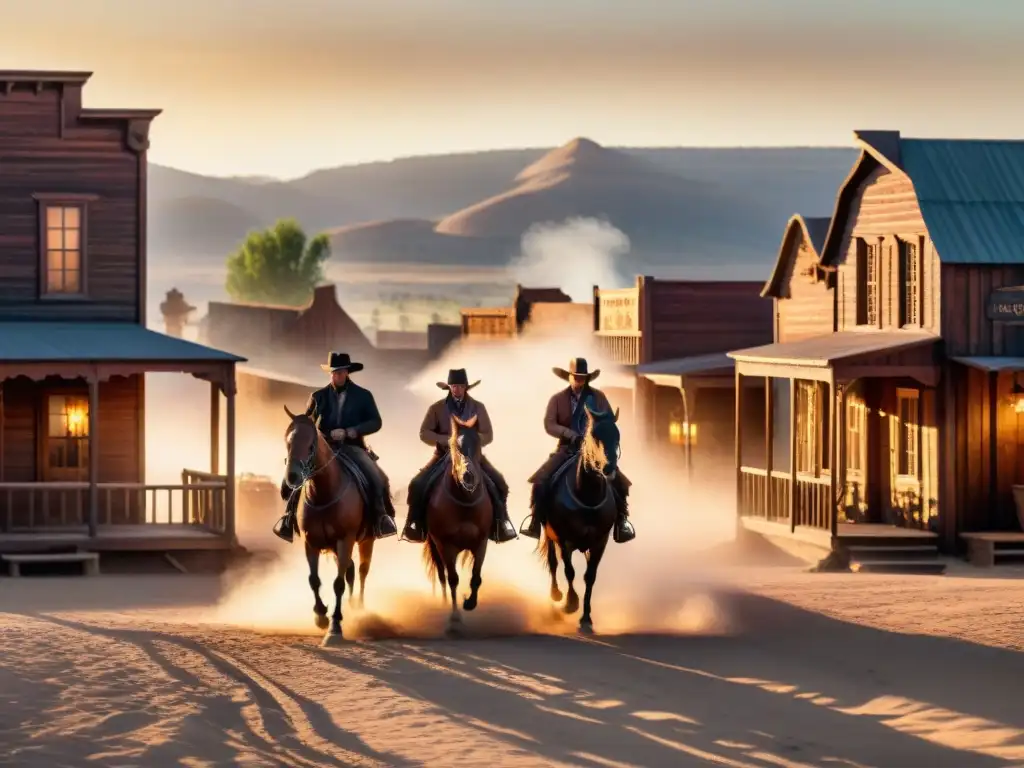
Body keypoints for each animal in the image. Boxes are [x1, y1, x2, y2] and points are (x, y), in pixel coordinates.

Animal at [282, 405, 374, 647]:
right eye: (287, 441)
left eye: (311, 445)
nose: (292, 477)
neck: (324, 493)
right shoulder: (310, 542)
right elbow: (314, 580)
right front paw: (321, 615)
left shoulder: (345, 540)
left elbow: (338, 583)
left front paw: (335, 627)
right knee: (351, 570)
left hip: (364, 541)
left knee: (362, 571)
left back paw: (359, 609)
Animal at [419, 417, 491, 634]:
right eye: (454, 447)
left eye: (478, 445)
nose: (469, 476)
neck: (464, 503)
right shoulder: (445, 545)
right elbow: (452, 579)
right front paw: (455, 619)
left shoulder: (481, 542)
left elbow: (476, 576)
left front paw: (469, 603)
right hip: (436, 546)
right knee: (442, 575)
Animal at [540, 405, 618, 634]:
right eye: (595, 436)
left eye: (617, 436)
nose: (609, 468)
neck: (587, 496)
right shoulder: (564, 539)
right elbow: (569, 571)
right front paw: (570, 603)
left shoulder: (600, 542)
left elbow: (589, 576)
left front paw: (586, 619)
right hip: (548, 534)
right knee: (553, 563)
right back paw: (556, 595)